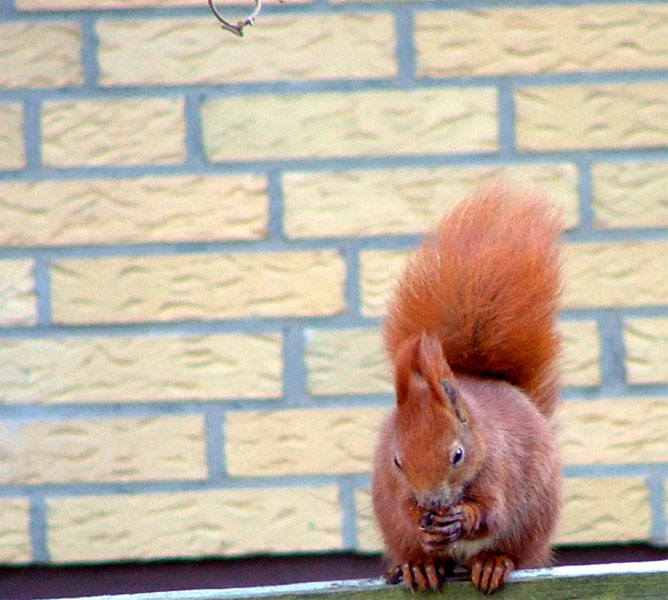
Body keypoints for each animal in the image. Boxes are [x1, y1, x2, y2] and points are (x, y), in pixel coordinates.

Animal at [370, 188, 564, 596]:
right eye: (397, 461)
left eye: (457, 455)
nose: (432, 502)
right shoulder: (394, 486)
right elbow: (403, 509)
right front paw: (421, 521)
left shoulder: (500, 468)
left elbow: (491, 512)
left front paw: (461, 517)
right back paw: (419, 566)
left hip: (532, 523)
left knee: (509, 549)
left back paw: (492, 563)